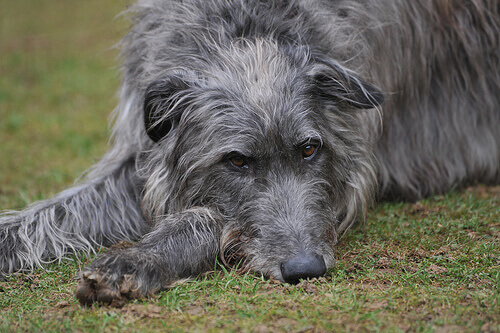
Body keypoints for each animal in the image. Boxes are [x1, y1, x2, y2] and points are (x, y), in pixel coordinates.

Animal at [0, 0, 498, 306]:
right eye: (236, 161)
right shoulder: (145, 151)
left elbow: (208, 218)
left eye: (310, 149)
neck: (247, 24)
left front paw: (134, 261)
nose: (305, 269)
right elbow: (55, 213)